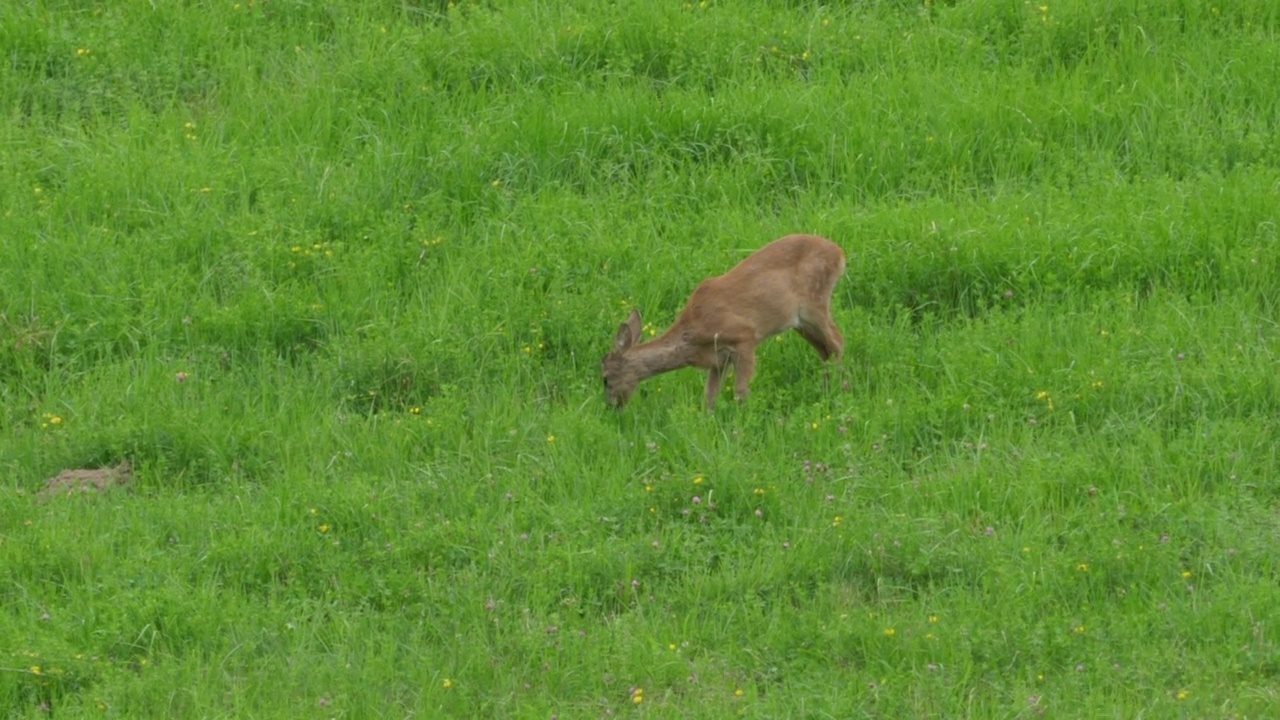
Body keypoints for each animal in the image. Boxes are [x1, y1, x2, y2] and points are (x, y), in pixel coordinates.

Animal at [601, 233, 844, 407]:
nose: (612, 407)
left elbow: (741, 392)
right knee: (826, 351)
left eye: (605, 378)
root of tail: (840, 254)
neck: (692, 335)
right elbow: (709, 396)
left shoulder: (744, 337)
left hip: (814, 304)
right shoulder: (719, 361)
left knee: (838, 343)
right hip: (800, 323)